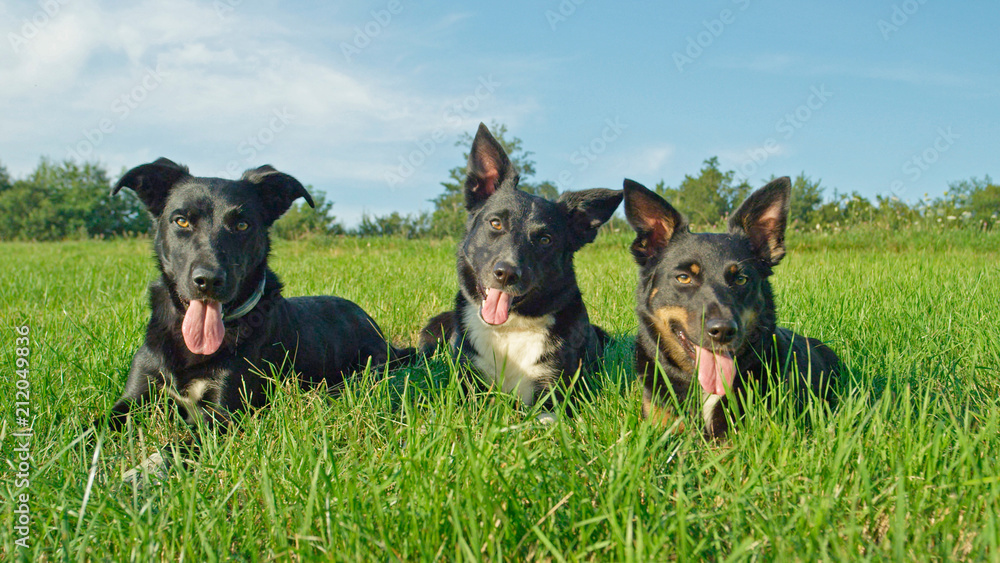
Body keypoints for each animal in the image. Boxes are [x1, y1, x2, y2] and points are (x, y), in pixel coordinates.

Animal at [103, 159, 412, 440]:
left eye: (242, 225)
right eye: (181, 220)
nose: (209, 281)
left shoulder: (223, 413)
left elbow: (179, 446)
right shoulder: (134, 397)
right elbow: (96, 424)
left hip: (370, 369)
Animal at [418, 123, 620, 414]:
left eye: (545, 239)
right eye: (496, 223)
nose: (506, 274)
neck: (510, 328)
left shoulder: (556, 390)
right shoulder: (466, 382)